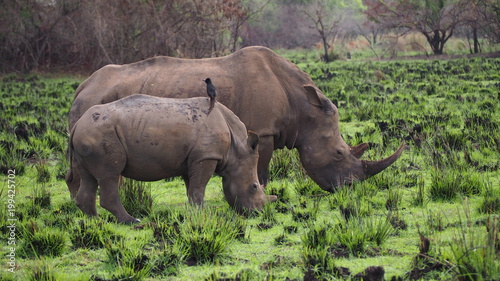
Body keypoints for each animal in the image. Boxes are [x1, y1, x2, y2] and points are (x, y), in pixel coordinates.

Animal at [69, 95, 278, 222]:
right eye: (253, 187)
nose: (257, 212)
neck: (236, 147)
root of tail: (77, 123)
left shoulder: (193, 160)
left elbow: (192, 189)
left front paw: (195, 212)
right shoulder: (206, 157)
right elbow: (199, 188)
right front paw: (203, 214)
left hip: (90, 134)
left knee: (89, 177)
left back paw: (95, 221)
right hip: (100, 134)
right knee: (110, 175)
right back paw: (132, 221)